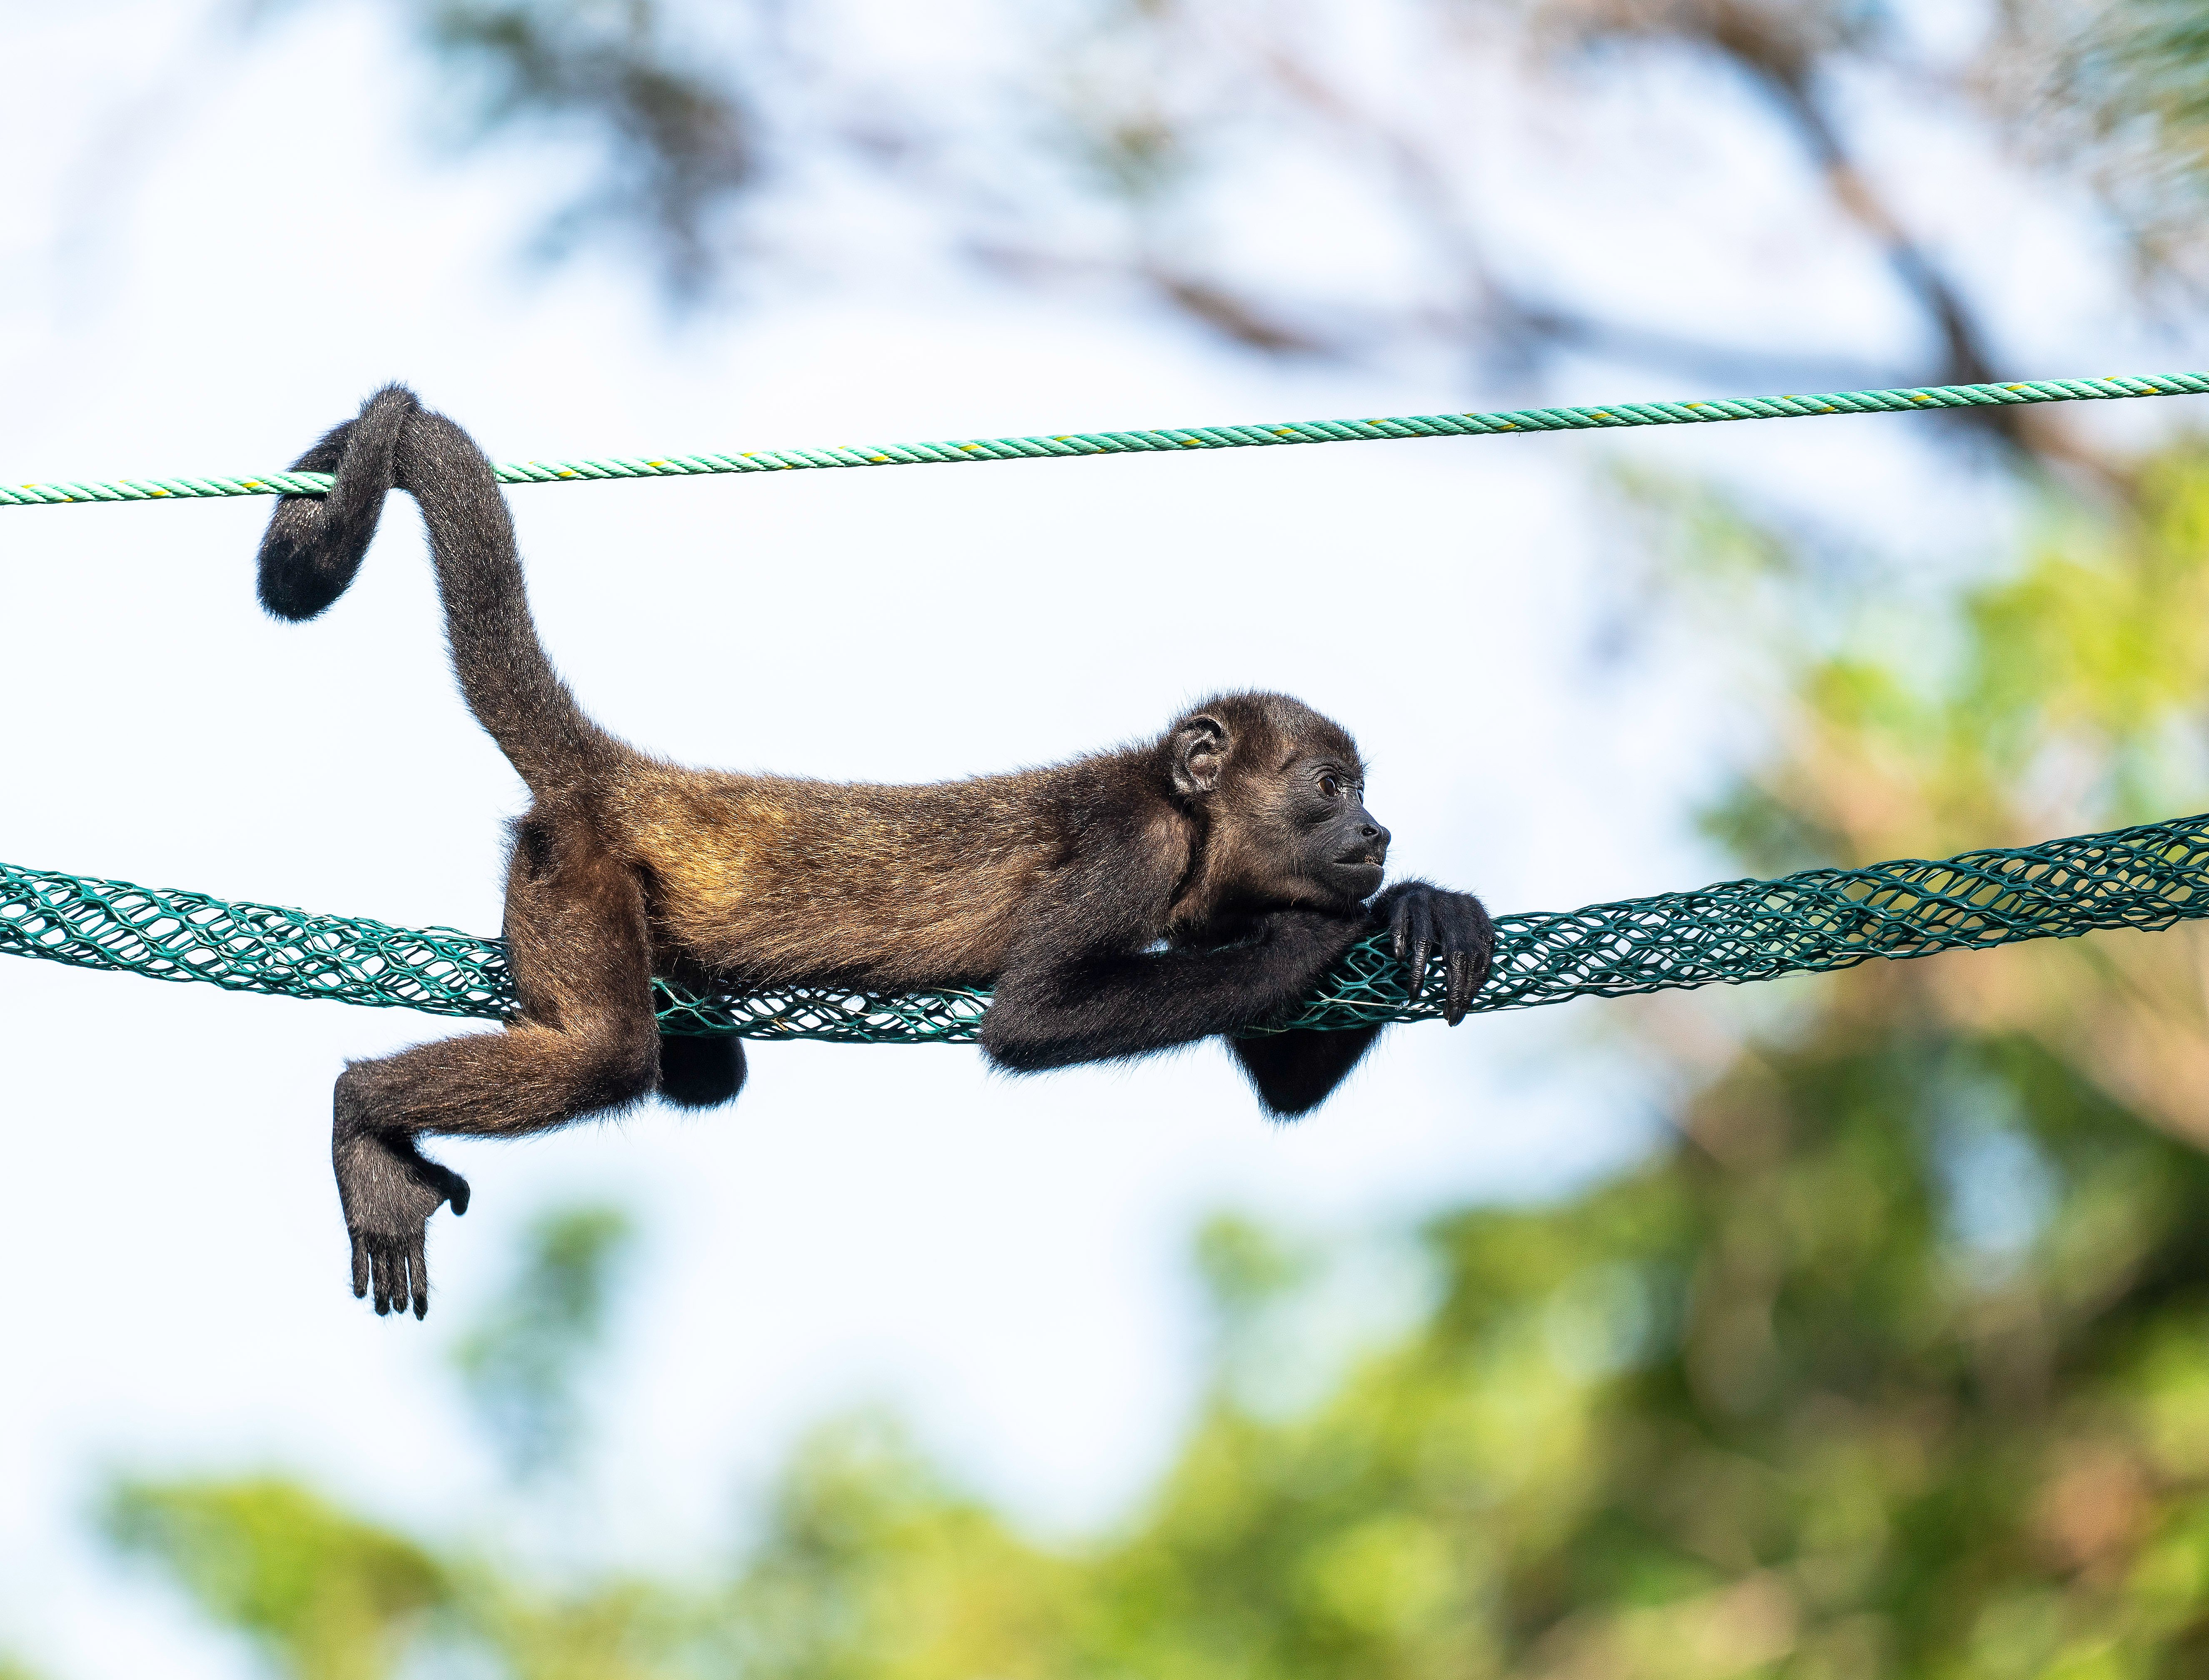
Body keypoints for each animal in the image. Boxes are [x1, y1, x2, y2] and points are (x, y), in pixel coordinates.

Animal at [255, 386, 1495, 1319]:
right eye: (1329, 787)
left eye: (1363, 794)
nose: (1375, 832)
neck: (1189, 824)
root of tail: (619, 776)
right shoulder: (1128, 850)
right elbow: (1033, 1017)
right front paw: (1327, 930)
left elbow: (1283, 1084)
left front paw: (1422, 907)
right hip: (575, 870)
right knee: (602, 1055)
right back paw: (366, 1114)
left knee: (694, 1071)